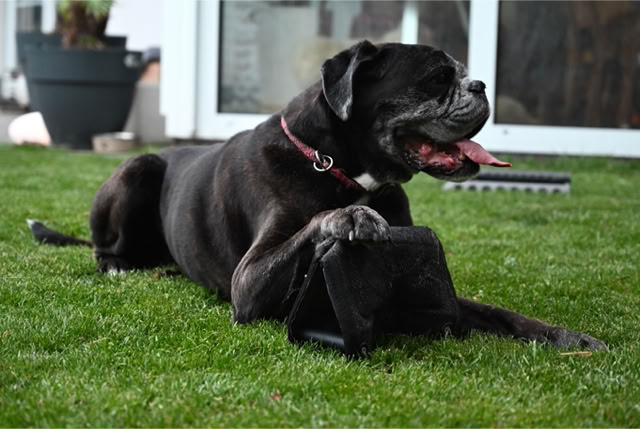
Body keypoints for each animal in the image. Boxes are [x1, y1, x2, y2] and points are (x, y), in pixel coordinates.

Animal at [30, 41, 605, 355]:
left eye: (464, 75)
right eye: (437, 78)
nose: (481, 86)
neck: (334, 165)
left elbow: (501, 314)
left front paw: (570, 338)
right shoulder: (248, 282)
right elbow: (317, 222)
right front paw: (351, 216)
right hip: (138, 167)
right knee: (103, 247)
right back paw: (117, 266)